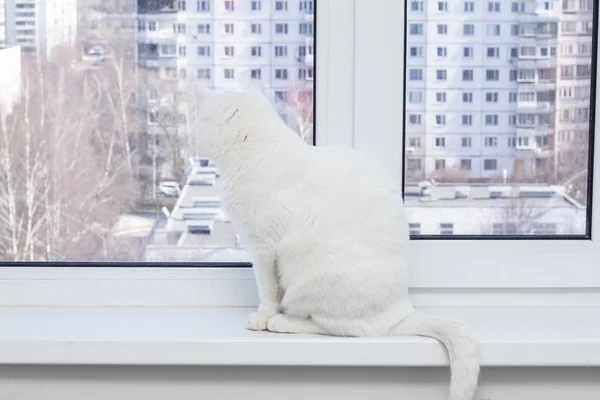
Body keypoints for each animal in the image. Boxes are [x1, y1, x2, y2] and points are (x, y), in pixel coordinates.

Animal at [195, 85, 480, 400]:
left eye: (201, 119)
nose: (194, 136)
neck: (258, 150)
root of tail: (401, 310)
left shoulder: (263, 248)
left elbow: (268, 290)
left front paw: (264, 315)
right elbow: (273, 290)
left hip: (312, 278)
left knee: (342, 329)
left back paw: (284, 321)